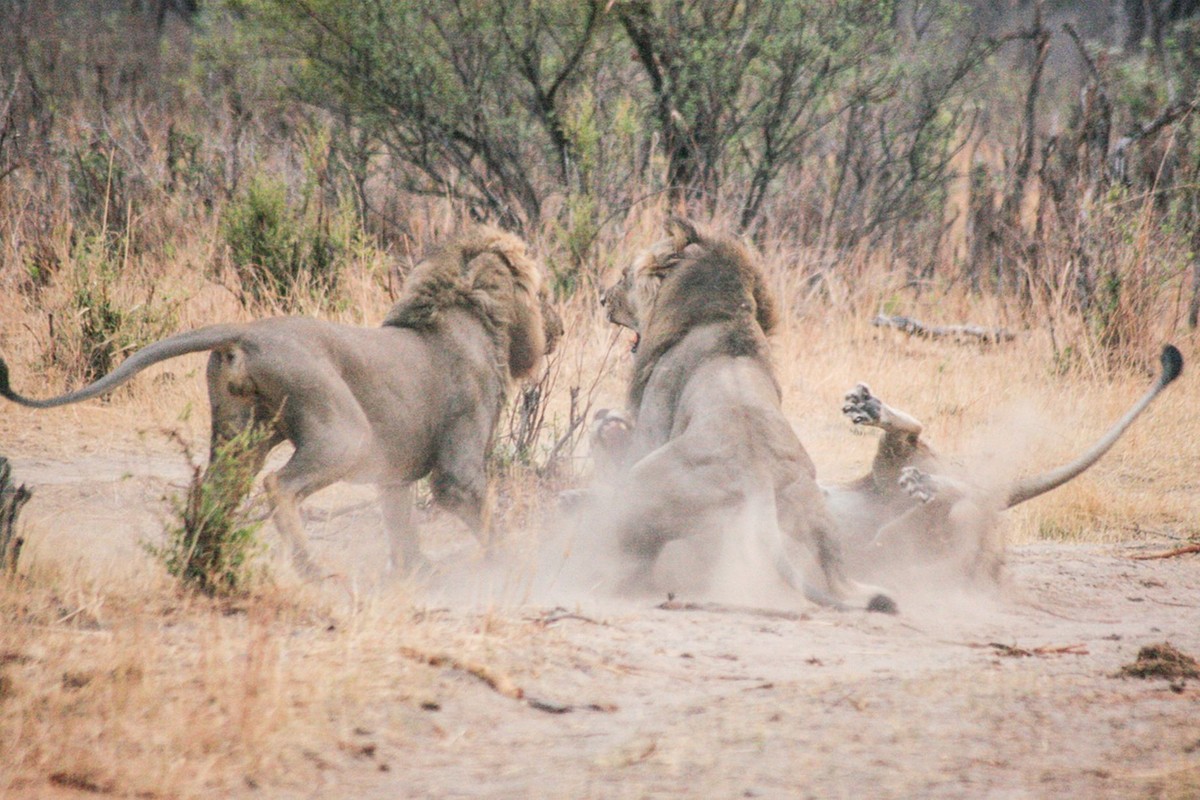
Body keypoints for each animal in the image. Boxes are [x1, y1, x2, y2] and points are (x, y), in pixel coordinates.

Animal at [1, 221, 561, 578]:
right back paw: (311, 567)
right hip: (345, 432)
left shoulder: (394, 472)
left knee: (214, 495)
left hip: (239, 436)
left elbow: (401, 523)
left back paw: (205, 560)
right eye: (545, 293)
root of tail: (247, 332)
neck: (472, 315)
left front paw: (417, 569)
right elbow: (480, 510)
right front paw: (512, 564)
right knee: (278, 485)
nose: (558, 326)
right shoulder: (458, 464)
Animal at [595, 219, 897, 614]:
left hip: (643, 486)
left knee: (634, 564)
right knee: (837, 577)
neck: (723, 314)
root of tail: (759, 480)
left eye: (624, 276)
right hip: (818, 514)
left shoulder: (654, 418)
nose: (602, 299)